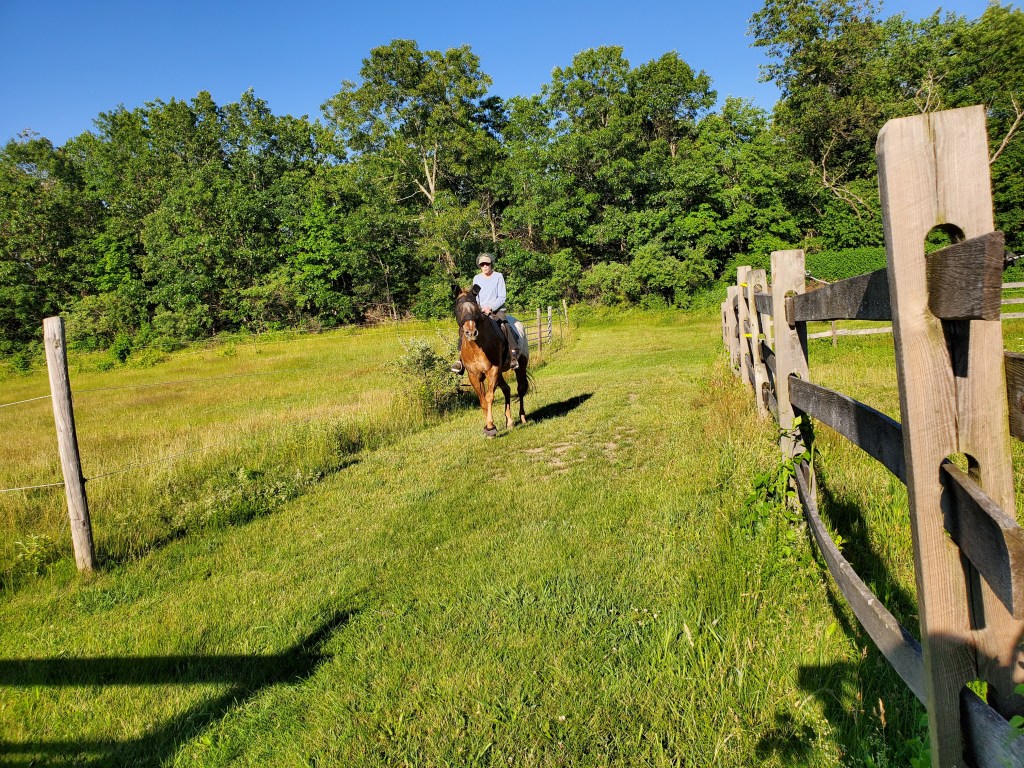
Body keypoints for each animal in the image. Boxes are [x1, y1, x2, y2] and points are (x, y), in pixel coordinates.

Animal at [454, 285, 529, 437]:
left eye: (475, 308)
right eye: (458, 309)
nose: (471, 332)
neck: (476, 346)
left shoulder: (492, 370)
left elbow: (489, 397)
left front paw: (490, 428)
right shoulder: (474, 375)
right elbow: (483, 400)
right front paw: (488, 427)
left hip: (521, 365)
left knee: (521, 389)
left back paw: (522, 417)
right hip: (500, 373)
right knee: (507, 389)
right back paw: (509, 422)